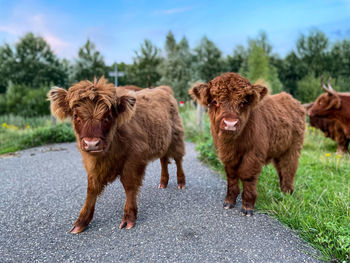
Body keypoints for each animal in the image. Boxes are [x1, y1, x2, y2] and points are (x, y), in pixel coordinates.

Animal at [48, 77, 189, 234]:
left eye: (108, 116)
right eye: (76, 115)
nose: (92, 143)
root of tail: (163, 89)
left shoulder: (134, 159)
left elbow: (129, 185)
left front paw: (129, 217)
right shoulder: (92, 163)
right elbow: (91, 188)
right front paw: (81, 221)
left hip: (176, 137)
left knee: (178, 159)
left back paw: (181, 182)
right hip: (162, 140)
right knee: (164, 160)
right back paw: (163, 182)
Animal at [189, 73, 306, 218]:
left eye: (243, 102)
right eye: (215, 101)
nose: (230, 123)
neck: (232, 143)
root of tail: (291, 99)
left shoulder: (254, 154)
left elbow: (248, 176)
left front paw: (248, 207)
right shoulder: (226, 154)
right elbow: (231, 175)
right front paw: (229, 202)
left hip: (293, 148)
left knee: (288, 169)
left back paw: (287, 195)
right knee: (281, 170)